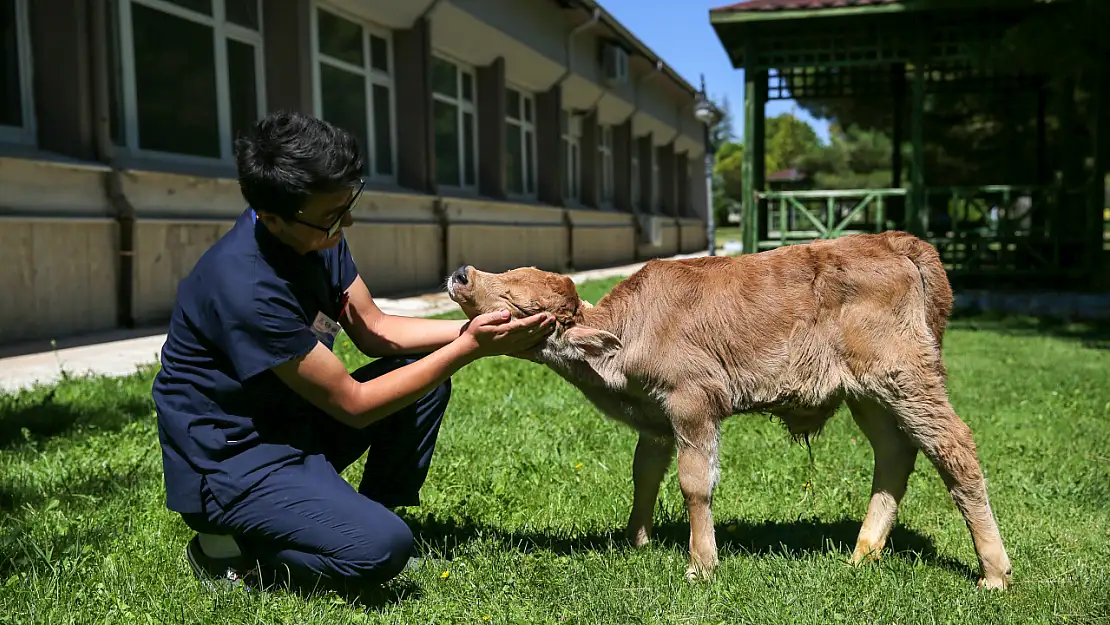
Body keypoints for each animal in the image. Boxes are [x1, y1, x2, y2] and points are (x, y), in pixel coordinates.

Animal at [444, 232, 1016, 590]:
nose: (461, 273)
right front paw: (637, 541)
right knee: (895, 453)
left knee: (953, 447)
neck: (626, 333)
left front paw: (701, 565)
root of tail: (895, 241)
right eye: (508, 273)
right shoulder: (656, 420)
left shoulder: (692, 402)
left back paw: (993, 573)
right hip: (868, 394)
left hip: (905, 379)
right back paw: (862, 552)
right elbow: (644, 473)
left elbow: (694, 482)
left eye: (519, 304)